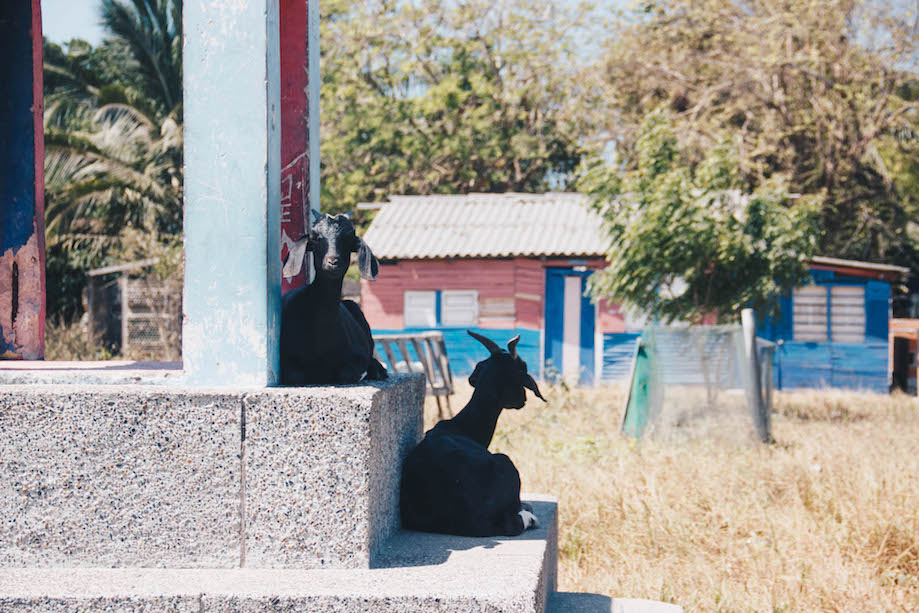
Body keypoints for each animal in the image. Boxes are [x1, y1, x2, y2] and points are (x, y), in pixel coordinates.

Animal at [282, 210, 390, 382]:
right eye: (316, 238)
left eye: (348, 238)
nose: (333, 261)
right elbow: (296, 375)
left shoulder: (358, 354)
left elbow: (348, 372)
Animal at [402, 330, 548, 536]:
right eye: (523, 367)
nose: (523, 400)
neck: (460, 427)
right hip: (506, 461)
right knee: (513, 525)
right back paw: (530, 518)